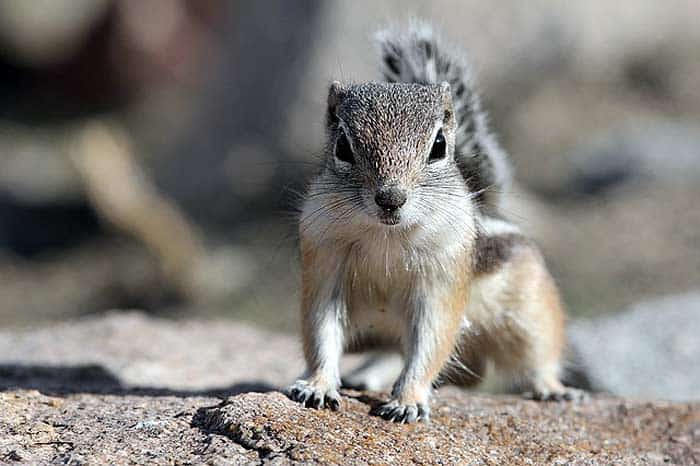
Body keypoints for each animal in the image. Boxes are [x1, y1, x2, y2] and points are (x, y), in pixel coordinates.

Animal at [286, 22, 584, 422]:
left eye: (439, 146)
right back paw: (364, 376)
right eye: (343, 147)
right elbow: (321, 333)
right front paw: (317, 385)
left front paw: (408, 400)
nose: (390, 198)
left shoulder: (442, 277)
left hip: (530, 309)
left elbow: (432, 341)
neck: (386, 237)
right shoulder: (324, 263)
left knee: (538, 356)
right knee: (390, 352)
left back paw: (553, 389)